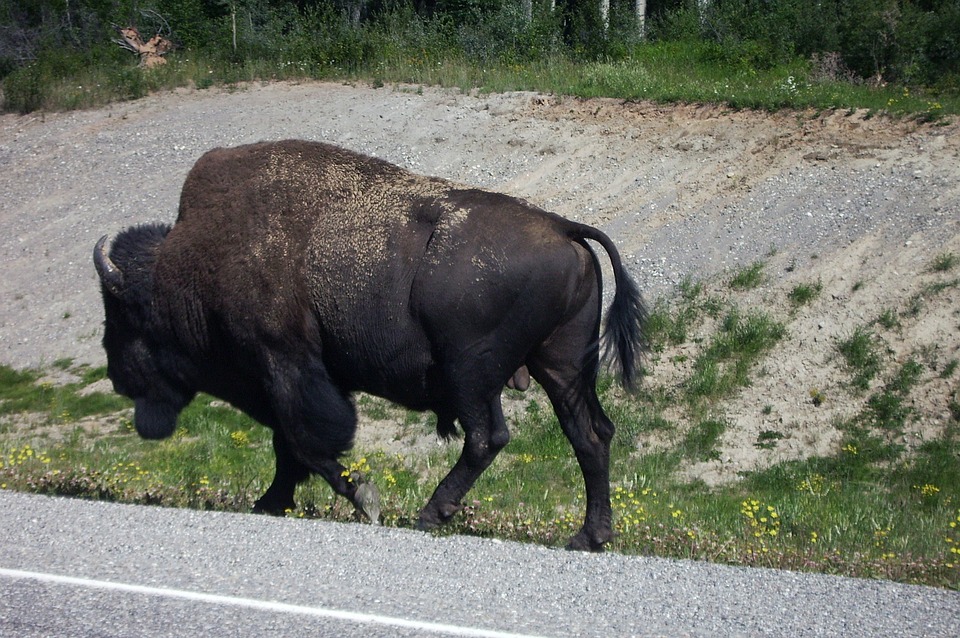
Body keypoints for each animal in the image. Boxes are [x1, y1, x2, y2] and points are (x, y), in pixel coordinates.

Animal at [94, 140, 647, 551]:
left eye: (121, 319)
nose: (117, 377)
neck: (193, 265)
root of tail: (563, 227)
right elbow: (290, 447)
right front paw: (272, 503)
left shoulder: (285, 366)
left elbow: (304, 441)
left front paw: (363, 498)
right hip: (560, 366)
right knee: (589, 435)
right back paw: (588, 537)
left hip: (471, 371)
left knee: (488, 437)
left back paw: (430, 514)